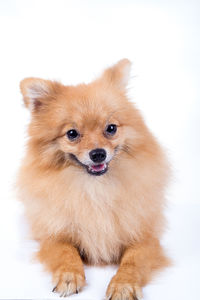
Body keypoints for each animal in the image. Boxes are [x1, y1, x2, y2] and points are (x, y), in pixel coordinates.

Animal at [17, 59, 170, 300]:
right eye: (72, 134)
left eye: (111, 128)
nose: (98, 153)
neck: (95, 189)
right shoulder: (53, 236)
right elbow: (66, 252)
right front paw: (69, 275)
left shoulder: (145, 238)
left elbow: (132, 262)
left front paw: (123, 284)